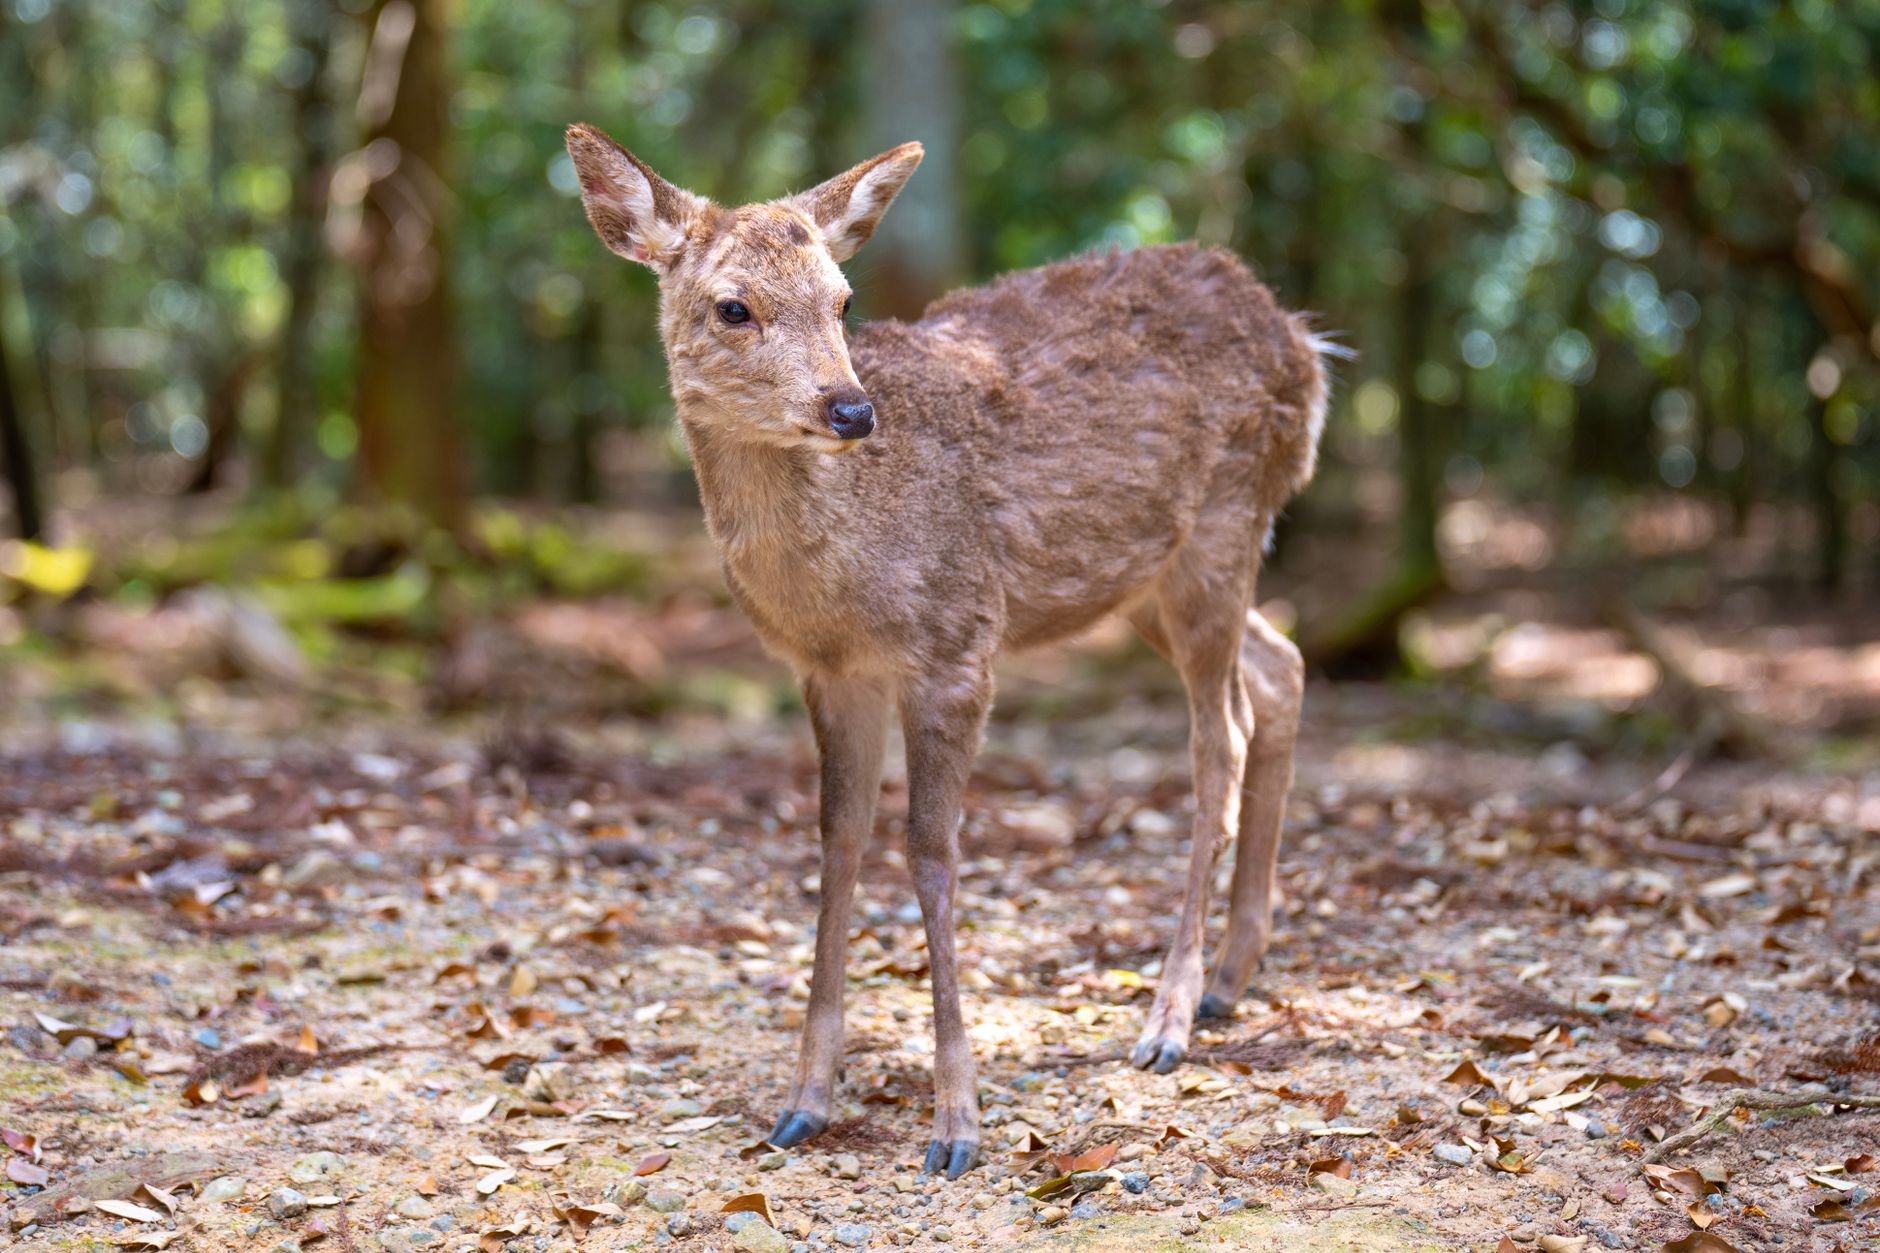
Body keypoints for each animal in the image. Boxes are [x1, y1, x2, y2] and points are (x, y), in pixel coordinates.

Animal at [565, 122, 1333, 1180]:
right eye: (733, 306)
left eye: (844, 299)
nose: (851, 410)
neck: (842, 582)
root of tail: (1305, 344)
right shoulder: (828, 672)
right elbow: (838, 841)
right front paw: (804, 1102)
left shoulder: (958, 645)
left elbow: (931, 852)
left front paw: (957, 1122)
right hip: (1147, 579)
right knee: (1282, 667)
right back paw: (1229, 977)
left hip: (1222, 527)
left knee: (1217, 741)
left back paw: (1170, 1017)